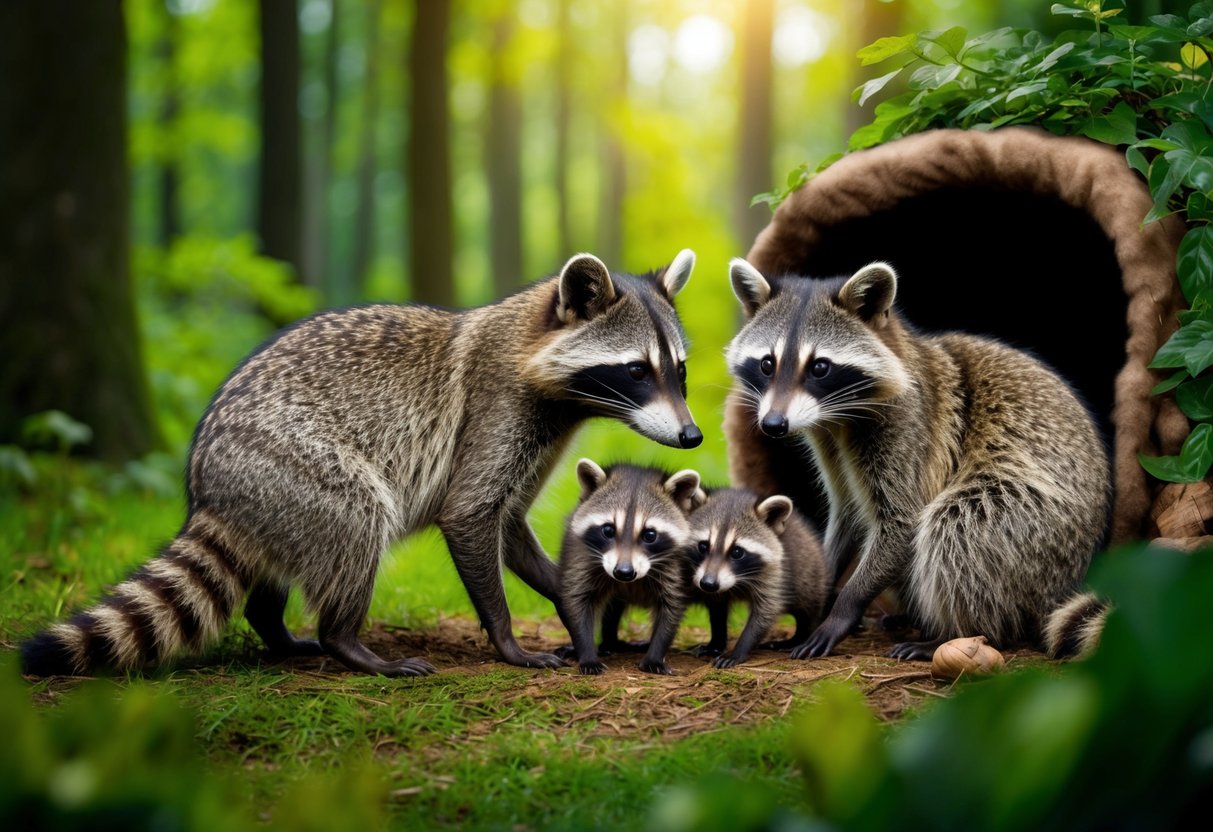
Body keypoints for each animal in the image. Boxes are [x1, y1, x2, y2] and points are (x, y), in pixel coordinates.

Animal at [558, 460, 700, 675]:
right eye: (608, 530)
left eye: (649, 535)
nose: (624, 573)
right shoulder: (581, 554)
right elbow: (577, 600)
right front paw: (586, 652)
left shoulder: (676, 564)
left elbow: (671, 606)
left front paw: (655, 654)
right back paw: (609, 642)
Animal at [686, 488, 828, 668]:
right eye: (703, 546)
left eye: (737, 552)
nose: (708, 584)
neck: (737, 579)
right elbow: (717, 608)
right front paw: (716, 642)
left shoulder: (776, 573)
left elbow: (765, 613)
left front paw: (739, 649)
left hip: (811, 577)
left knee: (808, 612)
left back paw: (798, 637)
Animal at [726, 258, 1111, 660]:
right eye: (767, 364)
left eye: (819, 367)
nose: (773, 425)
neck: (837, 417)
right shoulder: (828, 443)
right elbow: (846, 514)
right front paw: (821, 588)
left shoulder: (910, 425)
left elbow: (903, 520)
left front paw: (844, 609)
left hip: (1039, 524)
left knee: (959, 526)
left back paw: (963, 633)